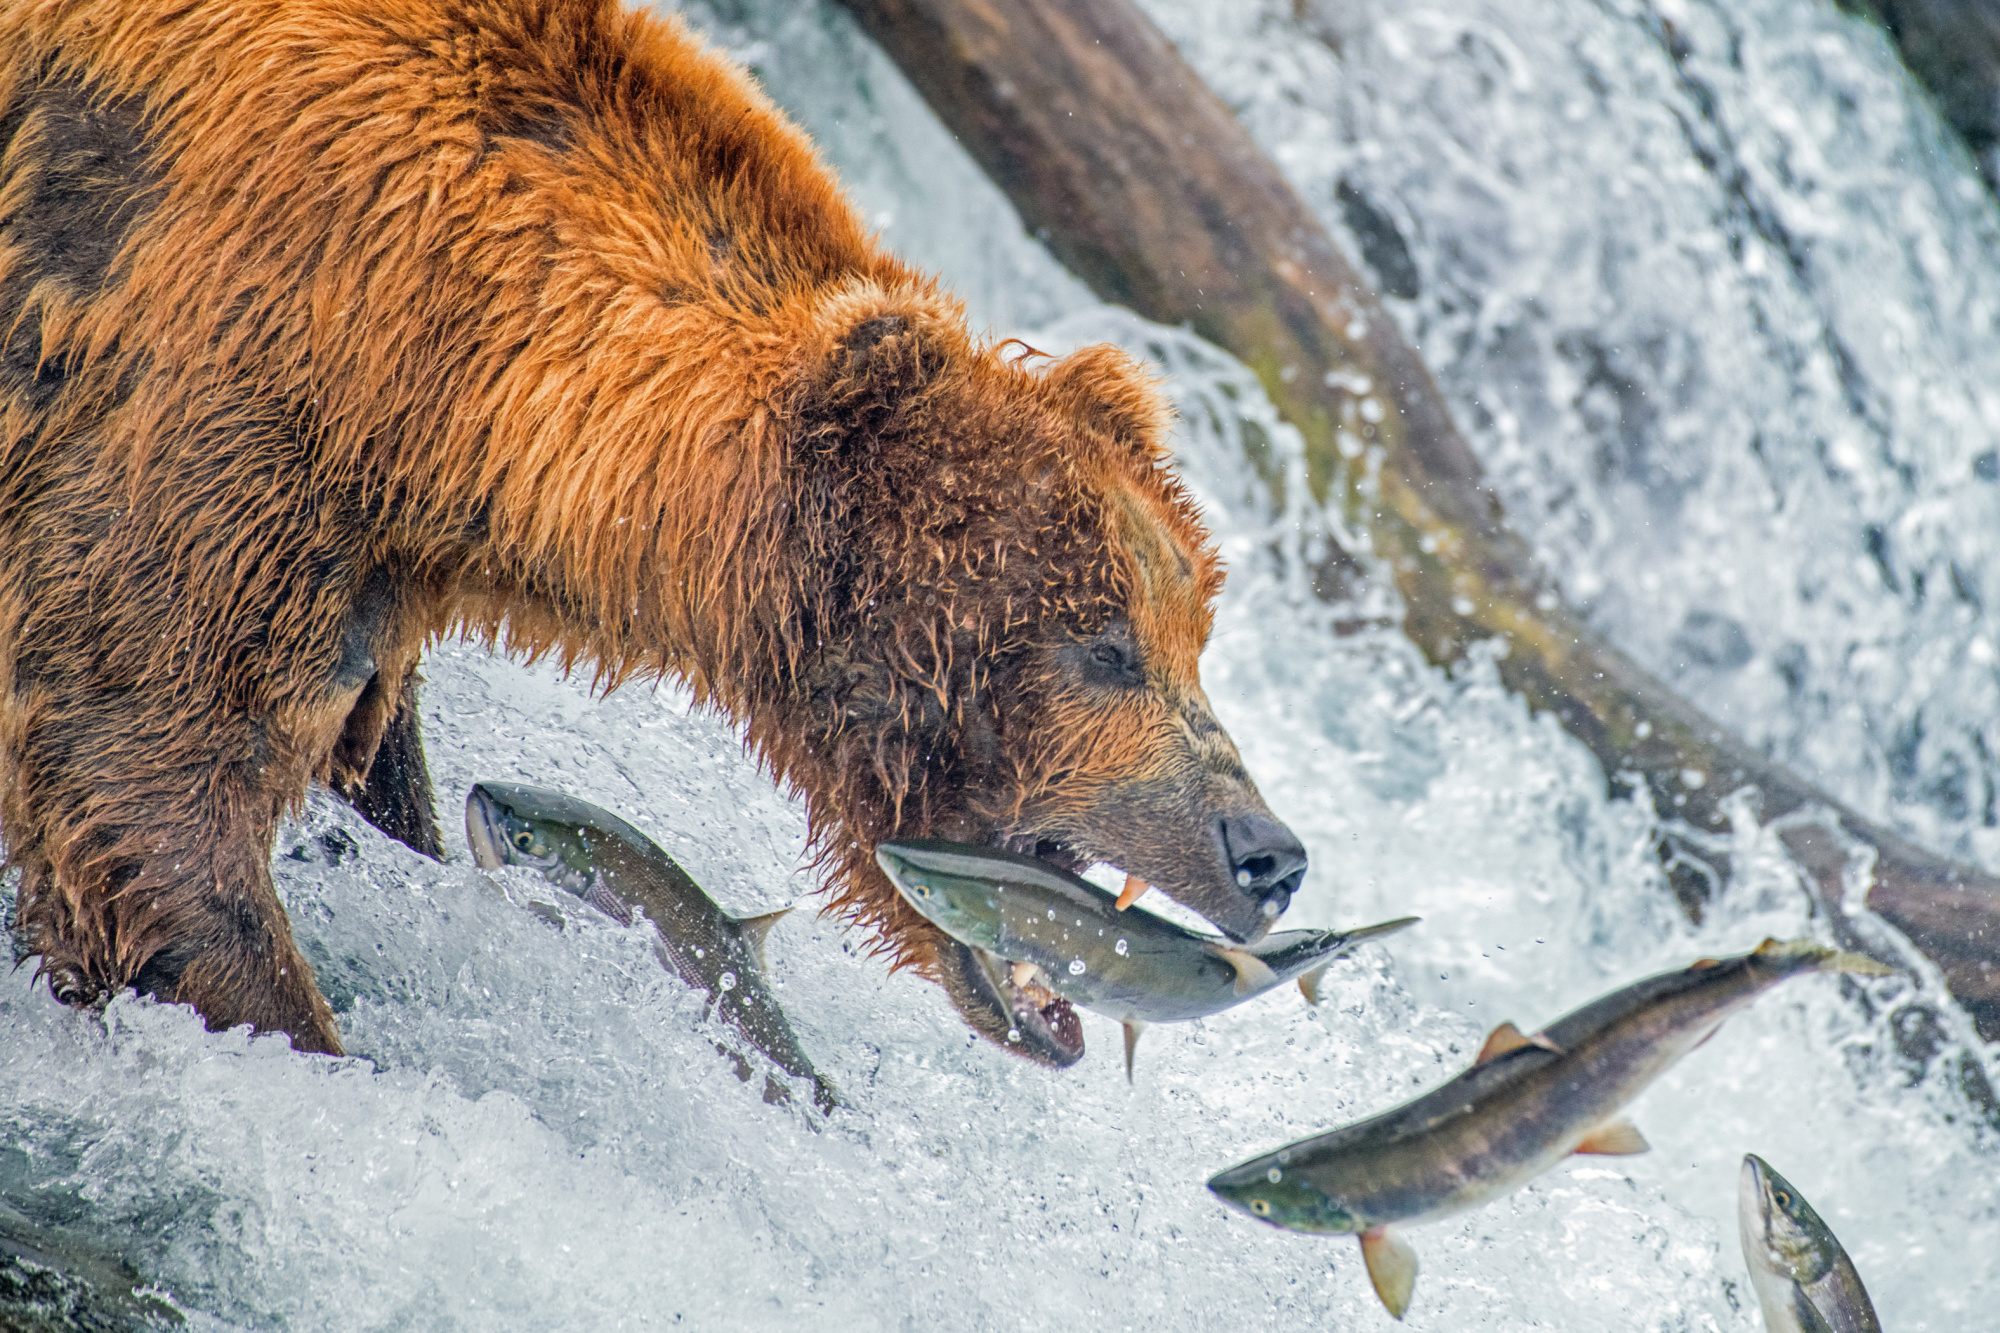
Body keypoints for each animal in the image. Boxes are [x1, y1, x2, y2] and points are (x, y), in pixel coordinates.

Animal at [0, 0, 1304, 1064]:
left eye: (1190, 632)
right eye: (1103, 645)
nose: (1268, 851)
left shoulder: (367, 562)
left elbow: (358, 769)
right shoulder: (214, 404)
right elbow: (140, 779)